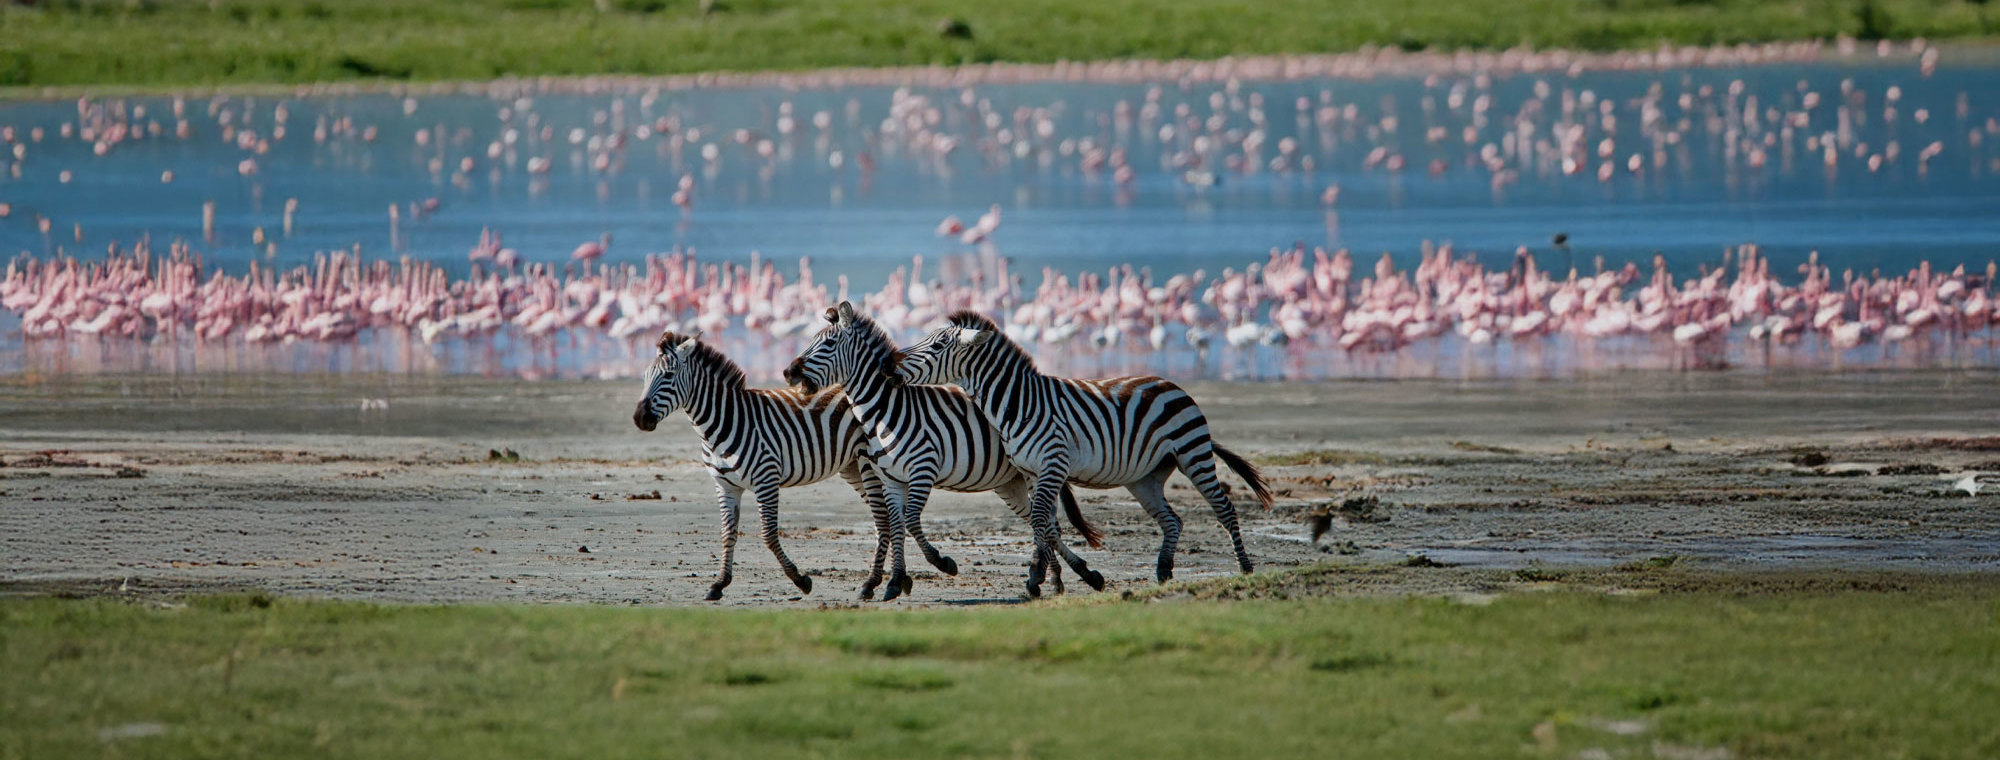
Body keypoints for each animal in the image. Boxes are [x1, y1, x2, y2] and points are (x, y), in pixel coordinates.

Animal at [633, 330, 911, 601]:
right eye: (645, 377)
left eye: (668, 376)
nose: (639, 418)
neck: (723, 423)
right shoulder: (725, 486)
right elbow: (727, 533)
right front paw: (719, 584)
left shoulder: (766, 478)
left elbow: (768, 534)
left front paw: (801, 580)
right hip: (851, 467)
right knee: (885, 518)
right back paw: (897, 580)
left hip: (868, 464)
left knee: (883, 518)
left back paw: (873, 583)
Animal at [784, 301, 1106, 596]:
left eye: (828, 343)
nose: (788, 372)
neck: (887, 409)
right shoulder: (889, 477)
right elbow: (897, 523)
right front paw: (895, 581)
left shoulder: (921, 469)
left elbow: (908, 521)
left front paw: (940, 564)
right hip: (1012, 483)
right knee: (1043, 521)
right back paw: (1058, 578)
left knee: (1048, 521)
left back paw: (1065, 576)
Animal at [892, 310, 1274, 596]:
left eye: (937, 344)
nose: (893, 368)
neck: (1018, 403)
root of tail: (1171, 384)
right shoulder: (1032, 472)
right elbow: (1044, 522)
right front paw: (1050, 577)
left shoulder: (1052, 464)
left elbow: (1042, 519)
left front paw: (1036, 576)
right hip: (1145, 478)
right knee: (1172, 520)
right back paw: (1164, 572)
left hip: (1193, 453)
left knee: (1224, 508)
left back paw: (1245, 568)